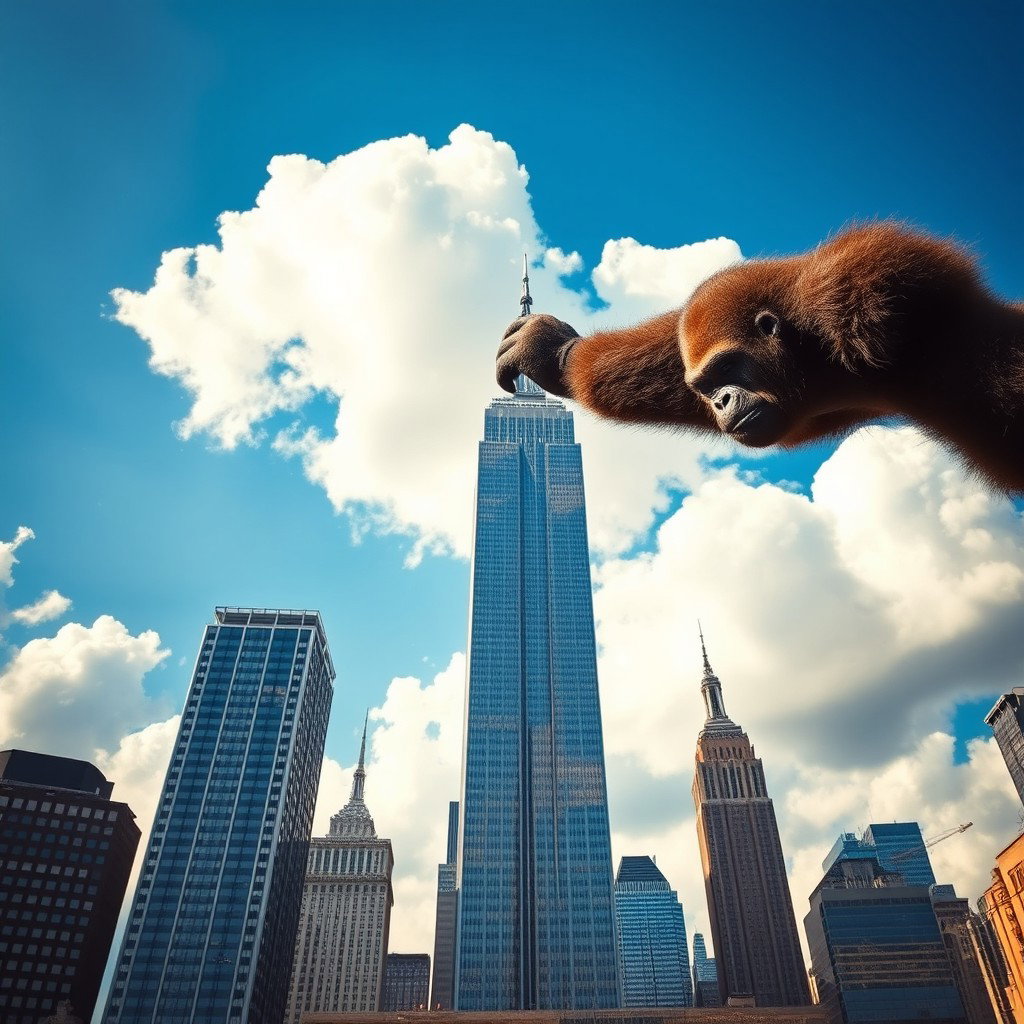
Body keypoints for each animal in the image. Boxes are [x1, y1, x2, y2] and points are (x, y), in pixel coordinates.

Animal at [496, 223, 1024, 492]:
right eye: (706, 386)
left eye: (729, 369)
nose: (721, 401)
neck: (812, 349)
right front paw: (553, 352)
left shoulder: (861, 293)